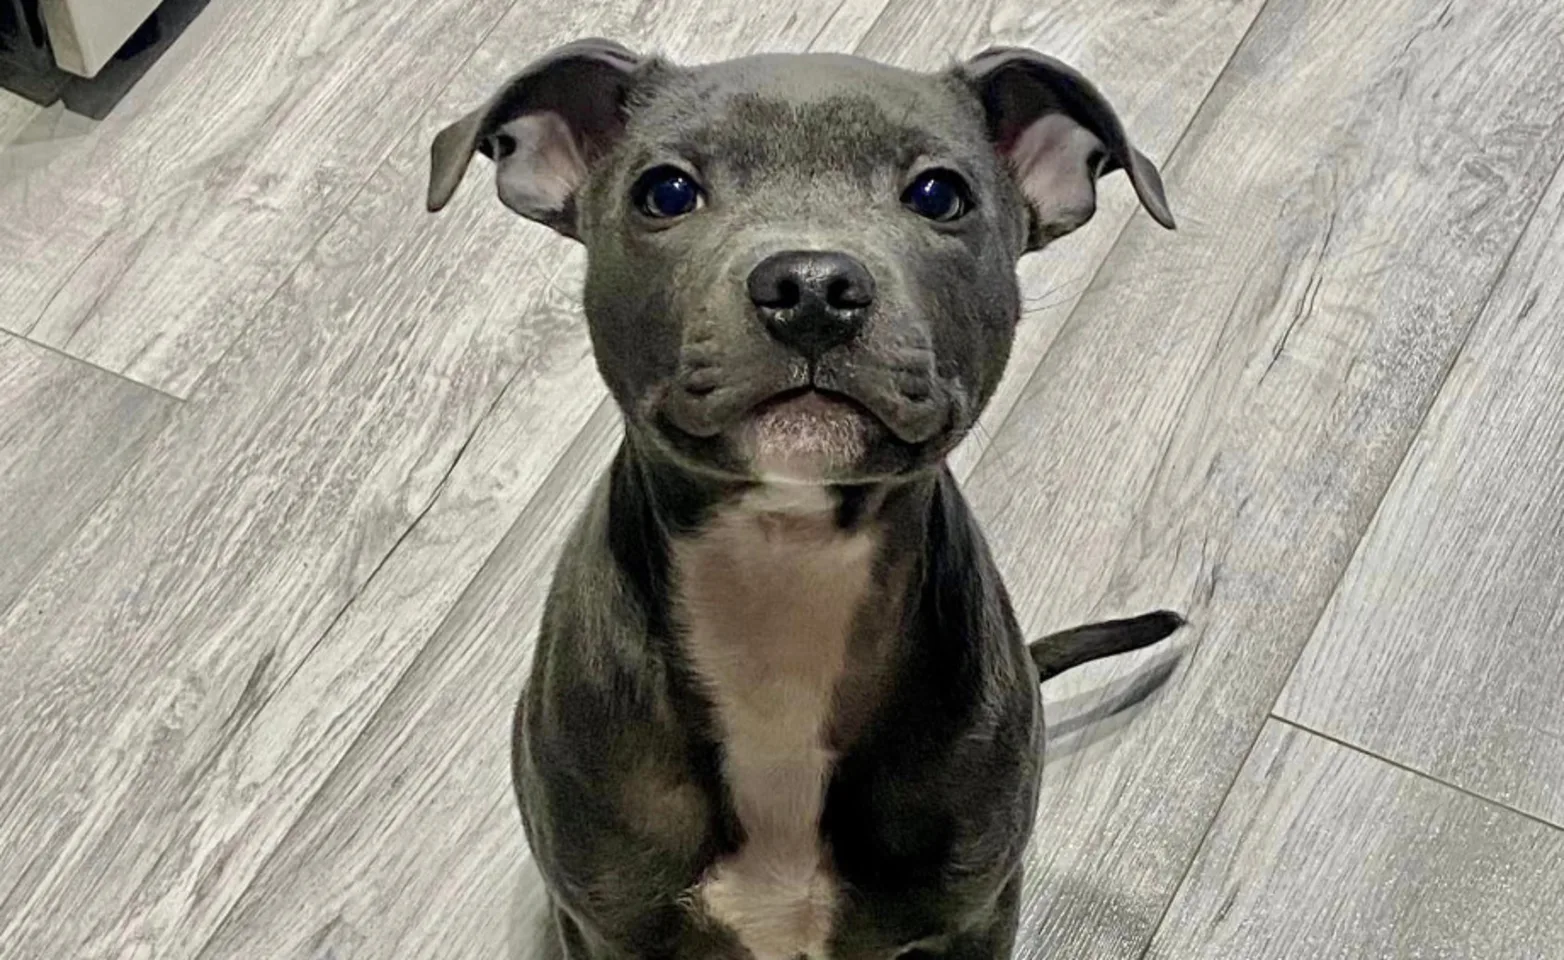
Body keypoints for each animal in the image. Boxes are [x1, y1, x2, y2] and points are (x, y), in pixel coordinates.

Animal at [428, 39, 1182, 960]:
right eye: (665, 191)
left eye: (939, 195)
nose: (813, 286)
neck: (785, 569)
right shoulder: (609, 929)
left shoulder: (974, 916)